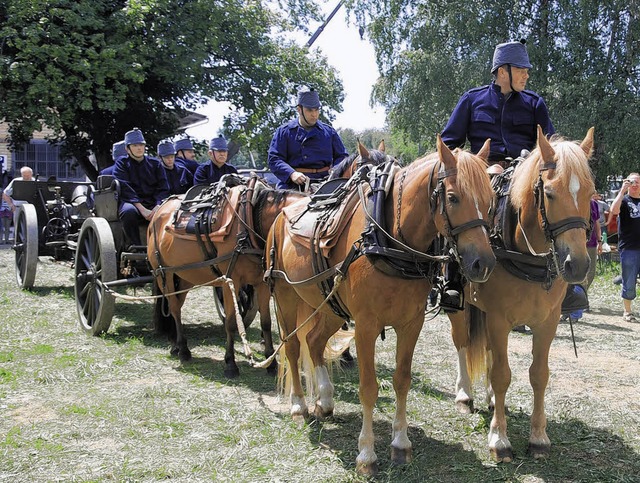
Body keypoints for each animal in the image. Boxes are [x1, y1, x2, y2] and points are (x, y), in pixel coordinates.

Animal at [264, 136, 496, 476]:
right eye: (453, 198)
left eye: (490, 199)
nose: (483, 263)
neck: (391, 242)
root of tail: (283, 213)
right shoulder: (366, 326)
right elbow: (369, 389)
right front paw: (366, 454)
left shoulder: (411, 323)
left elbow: (402, 380)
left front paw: (400, 443)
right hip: (285, 296)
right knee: (293, 348)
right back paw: (298, 406)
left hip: (330, 306)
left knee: (315, 342)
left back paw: (325, 400)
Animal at [450, 126, 596, 464]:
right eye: (550, 193)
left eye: (591, 194)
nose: (578, 265)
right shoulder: (499, 319)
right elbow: (503, 375)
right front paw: (499, 439)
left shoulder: (547, 322)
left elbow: (538, 374)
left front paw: (539, 437)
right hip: (462, 310)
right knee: (463, 343)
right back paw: (465, 395)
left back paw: (491, 399)